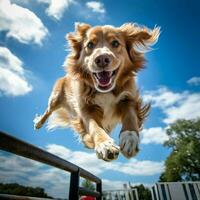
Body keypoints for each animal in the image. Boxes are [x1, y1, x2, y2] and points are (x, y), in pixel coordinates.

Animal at [33, 22, 160, 162]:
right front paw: (105, 145)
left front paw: (130, 138)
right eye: (89, 45)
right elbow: (95, 127)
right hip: (55, 99)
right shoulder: (86, 108)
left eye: (115, 43)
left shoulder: (128, 98)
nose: (102, 59)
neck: (105, 91)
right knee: (48, 110)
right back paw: (38, 123)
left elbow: (130, 117)